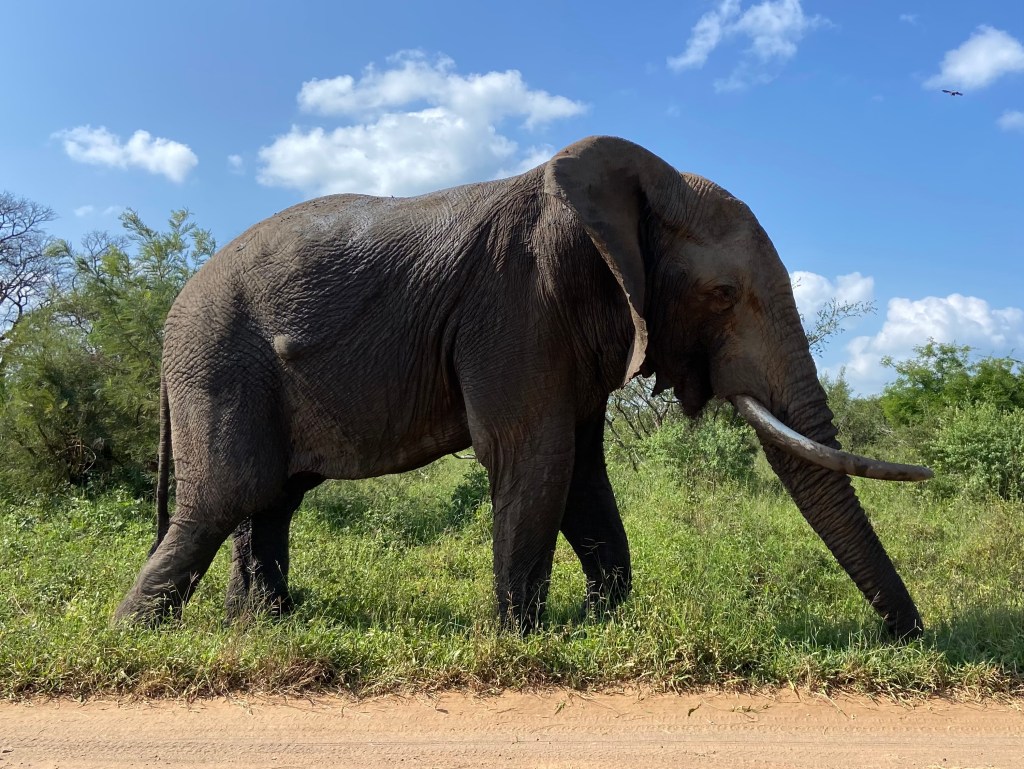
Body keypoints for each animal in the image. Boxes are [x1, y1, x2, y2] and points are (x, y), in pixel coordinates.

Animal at [114, 136, 931, 638]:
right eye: (724, 294)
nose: (907, 636)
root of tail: (169, 318)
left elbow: (582, 473)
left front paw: (604, 622)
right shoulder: (516, 303)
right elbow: (534, 459)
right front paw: (521, 640)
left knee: (272, 498)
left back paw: (259, 629)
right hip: (218, 362)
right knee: (228, 494)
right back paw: (137, 634)